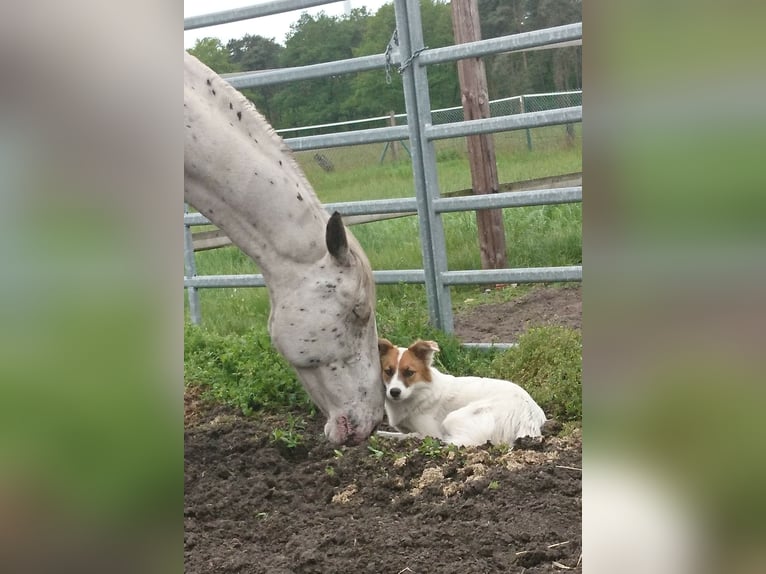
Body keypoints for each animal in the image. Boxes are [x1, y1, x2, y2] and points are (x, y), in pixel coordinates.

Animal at [376, 340, 544, 448]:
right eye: (388, 371)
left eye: (409, 372)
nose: (394, 392)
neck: (418, 391)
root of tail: (530, 418)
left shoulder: (431, 432)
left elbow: (411, 435)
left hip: (454, 417)